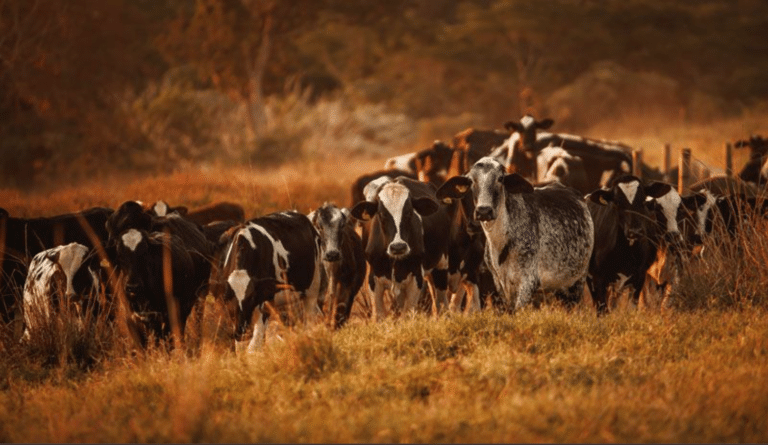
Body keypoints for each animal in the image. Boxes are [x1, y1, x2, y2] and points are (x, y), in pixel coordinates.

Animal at [215, 211, 326, 353]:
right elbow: (241, 347)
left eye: (252, 298)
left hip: (313, 288)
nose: (241, 329)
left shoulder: (264, 303)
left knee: (310, 319)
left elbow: (253, 347)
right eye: (228, 298)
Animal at [351, 176, 451, 320]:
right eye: (381, 214)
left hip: (441, 265)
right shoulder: (373, 279)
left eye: (409, 213)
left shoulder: (416, 278)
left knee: (441, 304)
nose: (398, 247)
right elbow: (379, 316)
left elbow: (407, 315)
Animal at [435, 157, 594, 311]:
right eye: (471, 180)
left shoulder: (527, 282)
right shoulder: (500, 285)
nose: (484, 211)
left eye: (500, 178)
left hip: (577, 283)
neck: (501, 242)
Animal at [585, 176, 680, 314]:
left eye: (643, 200)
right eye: (617, 202)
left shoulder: (639, 279)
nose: (635, 231)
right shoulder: (599, 279)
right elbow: (602, 309)